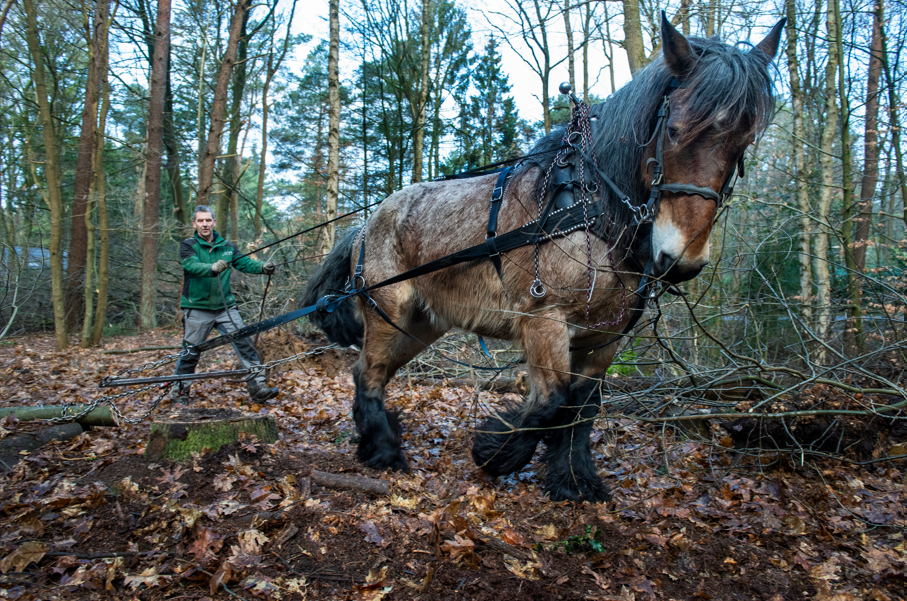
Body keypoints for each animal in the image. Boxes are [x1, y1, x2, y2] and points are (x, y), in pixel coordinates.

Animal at [304, 15, 788, 502]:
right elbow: (552, 401)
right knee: (368, 372)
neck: (593, 210)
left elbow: (582, 408)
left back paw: (378, 440)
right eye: (674, 131)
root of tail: (367, 222)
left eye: (744, 143)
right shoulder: (545, 319)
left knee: (375, 372)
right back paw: (385, 452)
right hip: (387, 310)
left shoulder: (603, 337)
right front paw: (494, 450)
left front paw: (574, 479)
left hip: (423, 323)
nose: (681, 260)